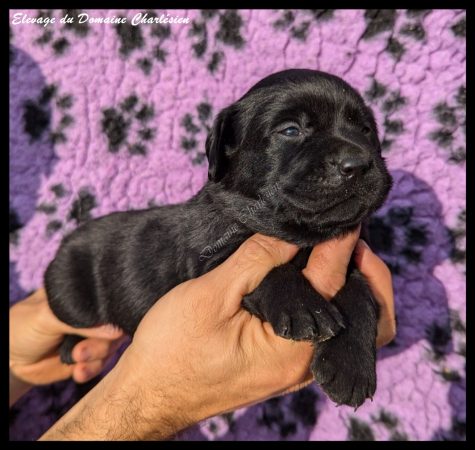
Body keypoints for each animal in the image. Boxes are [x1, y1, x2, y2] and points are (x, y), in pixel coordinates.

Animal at [44, 69, 394, 408]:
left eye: (366, 130)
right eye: (291, 130)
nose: (357, 163)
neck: (301, 234)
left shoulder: (351, 257)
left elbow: (360, 293)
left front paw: (350, 368)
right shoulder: (211, 259)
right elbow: (265, 269)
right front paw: (303, 307)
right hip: (69, 297)